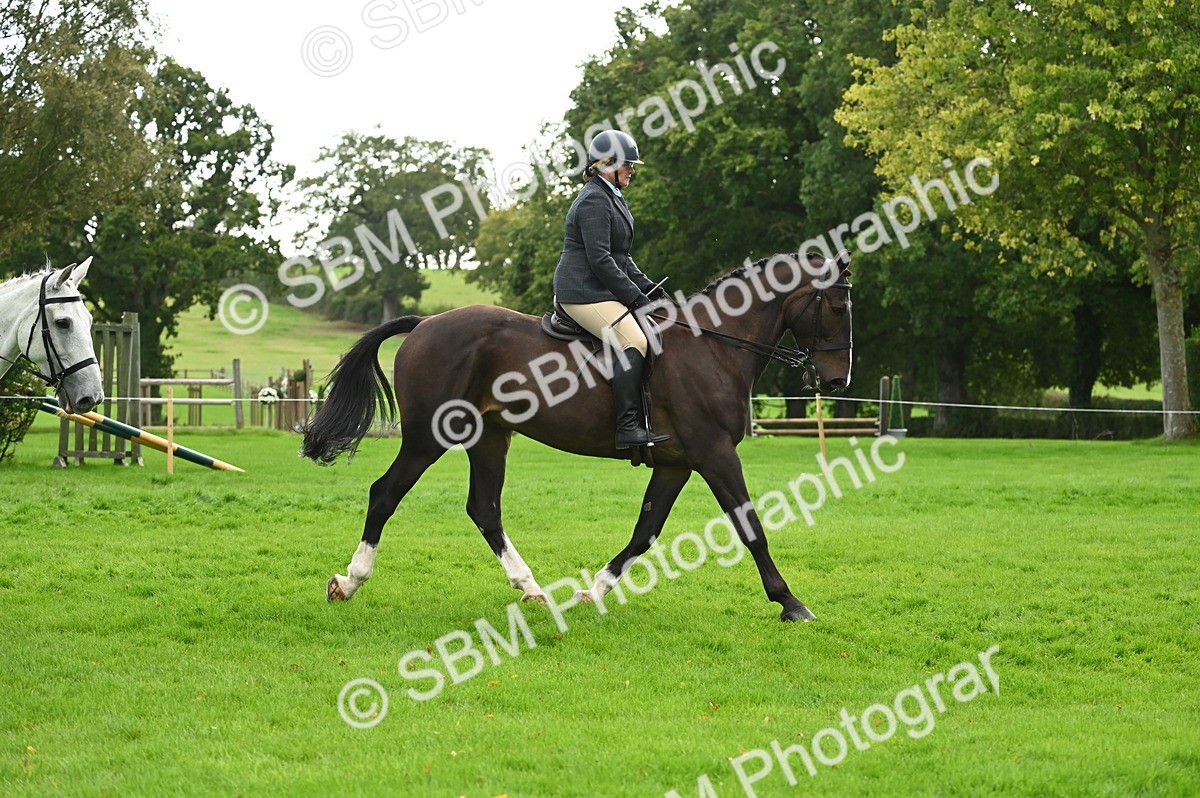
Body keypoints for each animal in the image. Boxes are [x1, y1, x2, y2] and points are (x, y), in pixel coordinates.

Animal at [302, 251, 853, 622]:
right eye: (838, 307)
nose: (837, 381)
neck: (713, 346)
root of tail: (425, 323)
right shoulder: (714, 453)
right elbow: (750, 526)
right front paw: (791, 603)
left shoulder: (677, 461)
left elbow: (645, 531)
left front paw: (595, 590)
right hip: (427, 438)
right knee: (385, 494)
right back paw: (349, 582)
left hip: (489, 436)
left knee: (484, 508)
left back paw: (531, 589)